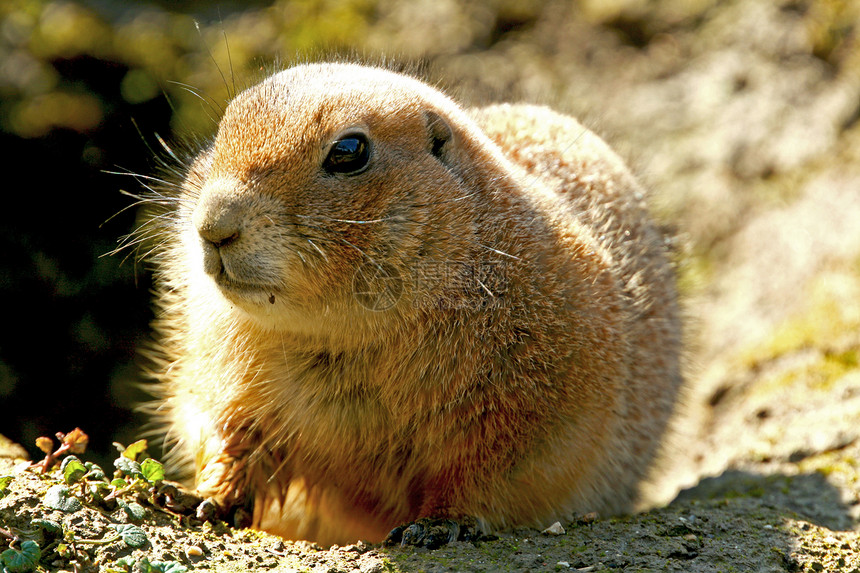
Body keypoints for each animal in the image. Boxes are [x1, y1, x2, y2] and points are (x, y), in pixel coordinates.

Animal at [138, 61, 680, 544]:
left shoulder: (532, 400)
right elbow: (232, 435)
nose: (213, 225)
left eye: (349, 151)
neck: (341, 330)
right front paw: (200, 497)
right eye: (223, 130)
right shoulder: (224, 367)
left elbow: (484, 467)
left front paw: (439, 523)